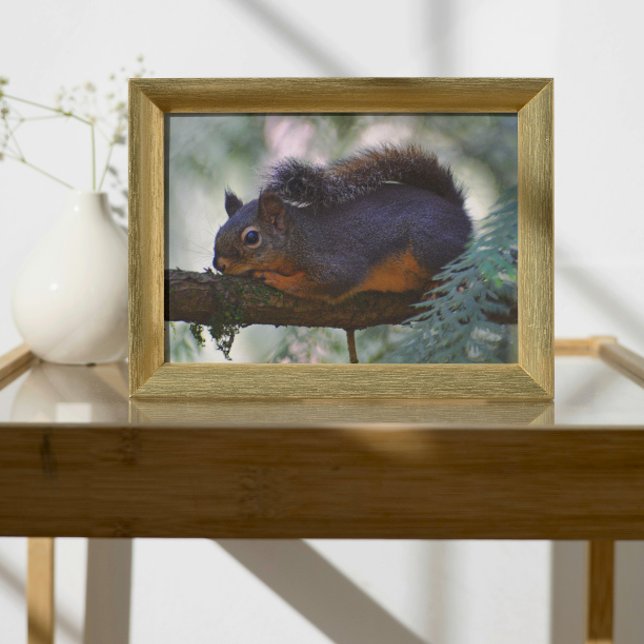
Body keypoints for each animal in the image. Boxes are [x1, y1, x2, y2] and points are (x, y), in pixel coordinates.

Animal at [213, 145, 472, 302]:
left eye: (252, 238)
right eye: (219, 230)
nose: (219, 265)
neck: (299, 239)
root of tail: (458, 212)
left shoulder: (336, 262)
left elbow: (321, 284)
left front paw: (276, 279)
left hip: (427, 243)